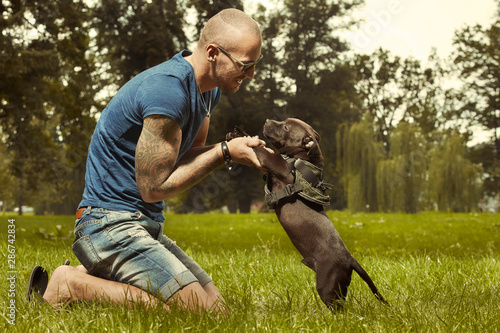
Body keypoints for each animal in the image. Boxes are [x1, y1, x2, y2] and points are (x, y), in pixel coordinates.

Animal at [229, 117, 388, 308]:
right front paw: (239, 132)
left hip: (328, 287)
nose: (267, 120)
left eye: (285, 127)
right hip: (339, 287)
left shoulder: (274, 162)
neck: (300, 157)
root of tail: (349, 259)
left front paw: (238, 136)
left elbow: (262, 150)